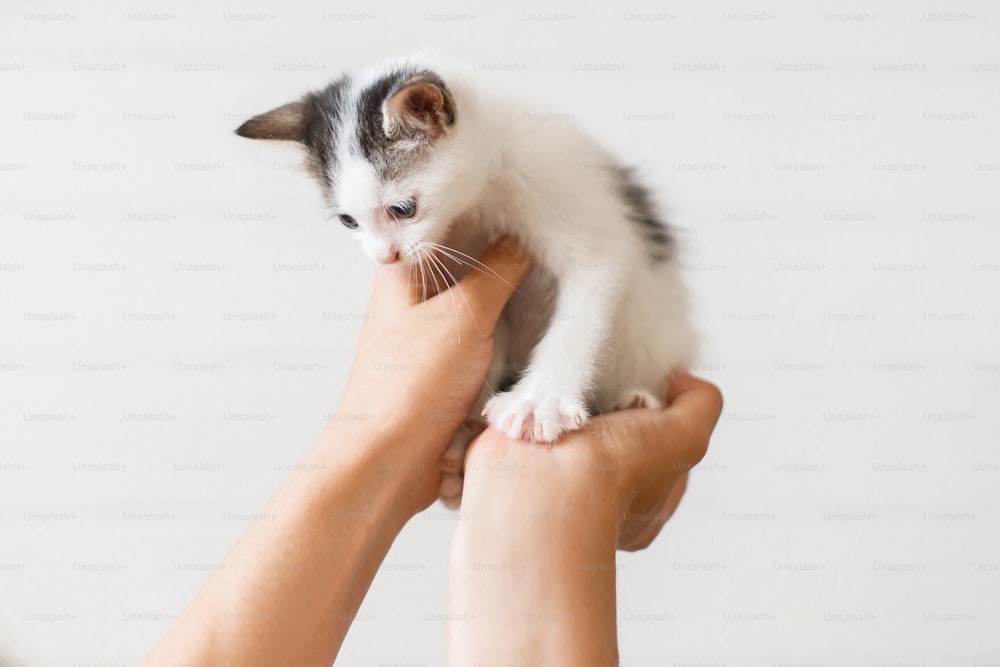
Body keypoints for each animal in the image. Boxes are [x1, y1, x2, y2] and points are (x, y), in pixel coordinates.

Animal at [239, 54, 700, 508]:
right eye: (348, 221)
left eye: (403, 209)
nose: (384, 257)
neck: (485, 193)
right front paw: (467, 435)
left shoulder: (581, 221)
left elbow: (583, 305)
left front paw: (540, 402)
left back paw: (634, 399)